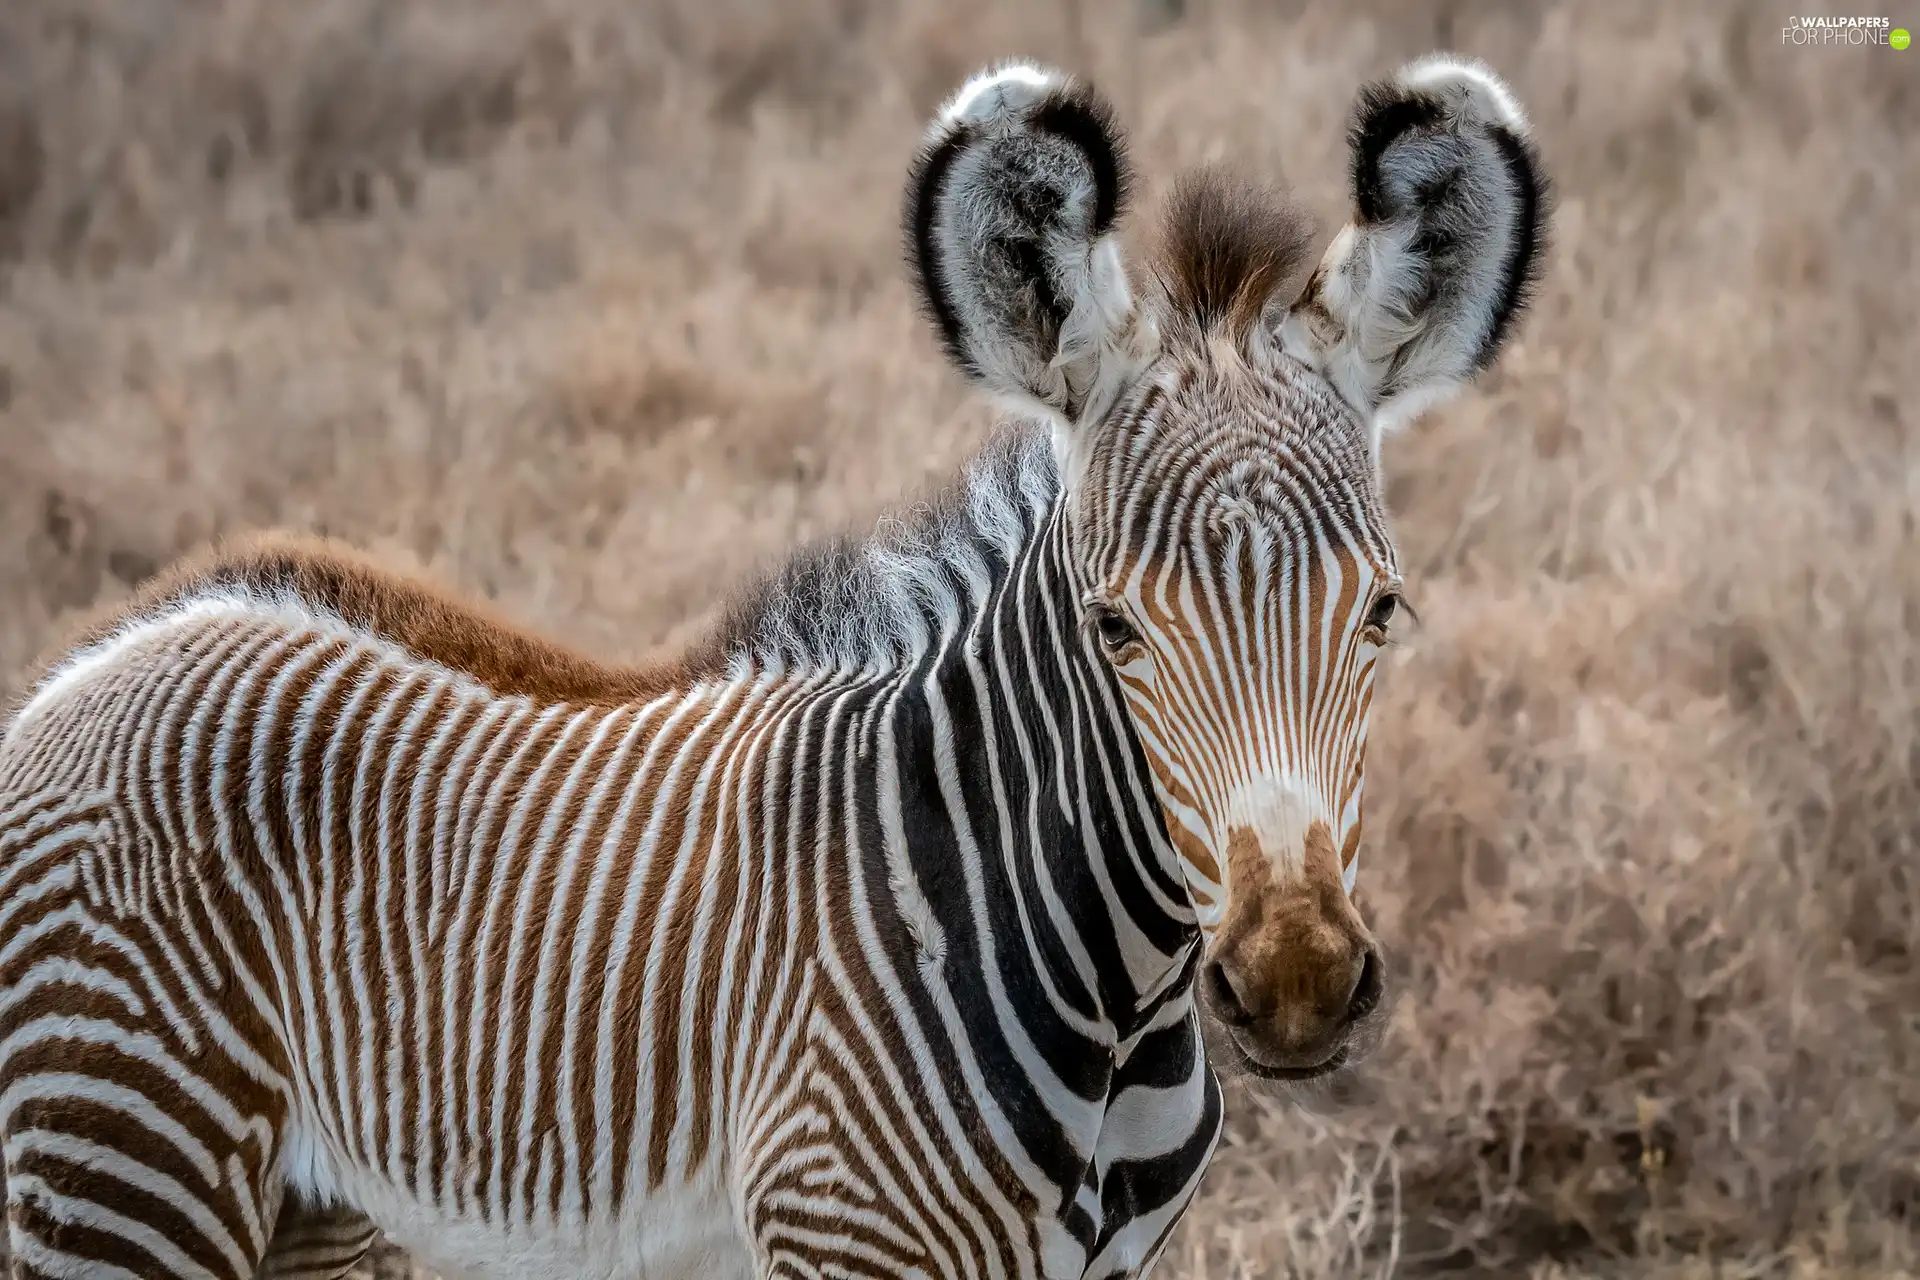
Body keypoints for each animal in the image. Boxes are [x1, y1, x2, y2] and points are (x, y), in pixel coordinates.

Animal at [0, 50, 1543, 1280]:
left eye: (1382, 612)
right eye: (1115, 628)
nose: (1295, 982)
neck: (1109, 994)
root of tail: (88, 672)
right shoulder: (837, 1234)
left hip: (301, 1214)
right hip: (122, 1164)